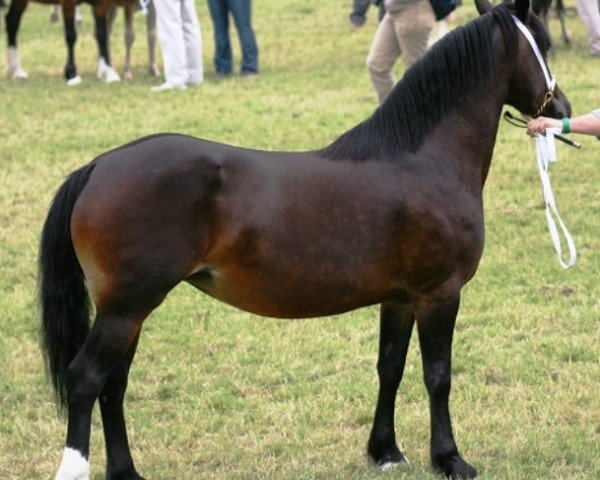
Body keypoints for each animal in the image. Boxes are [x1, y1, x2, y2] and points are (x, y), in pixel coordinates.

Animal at [37, 1, 572, 478]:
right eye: (542, 44)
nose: (562, 108)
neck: (422, 159)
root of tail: (99, 166)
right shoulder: (438, 295)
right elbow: (437, 375)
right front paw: (450, 460)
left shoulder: (399, 299)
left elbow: (390, 367)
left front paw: (385, 452)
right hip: (126, 308)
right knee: (86, 380)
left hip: (127, 312)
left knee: (113, 386)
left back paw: (126, 472)